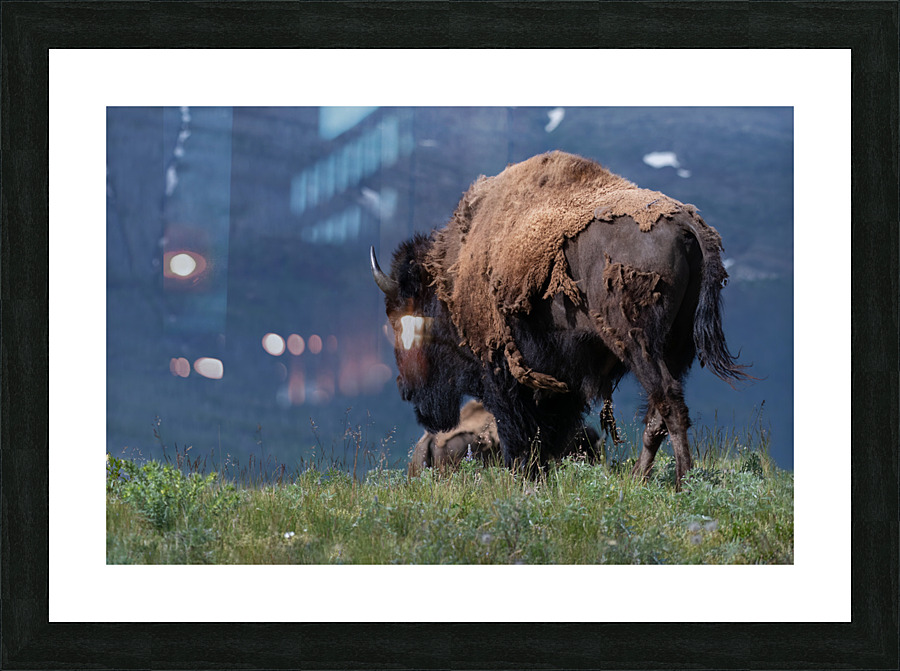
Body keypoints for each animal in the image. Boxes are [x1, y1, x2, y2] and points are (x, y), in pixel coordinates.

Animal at [372, 151, 747, 490]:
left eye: (398, 319)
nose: (404, 388)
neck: (453, 273)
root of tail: (685, 222)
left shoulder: (506, 377)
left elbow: (522, 434)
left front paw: (525, 480)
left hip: (637, 343)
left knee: (667, 401)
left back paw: (683, 482)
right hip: (676, 346)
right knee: (659, 411)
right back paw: (640, 480)